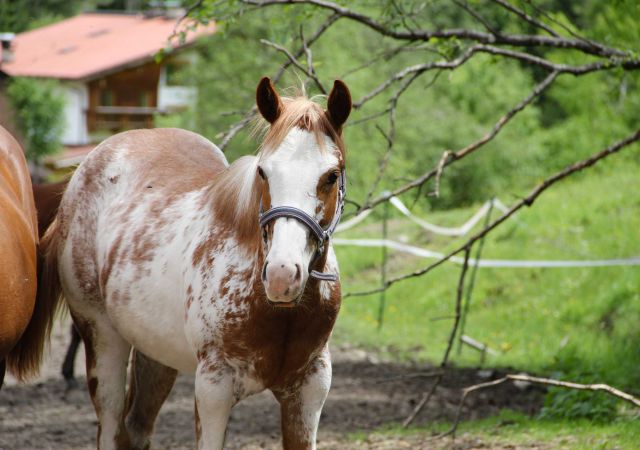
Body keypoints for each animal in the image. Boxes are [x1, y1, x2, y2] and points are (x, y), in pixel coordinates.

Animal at [37, 77, 352, 449]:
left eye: (331, 175)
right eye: (263, 171)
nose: (281, 275)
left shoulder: (308, 389)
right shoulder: (214, 389)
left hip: (155, 354)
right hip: (102, 339)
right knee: (111, 425)